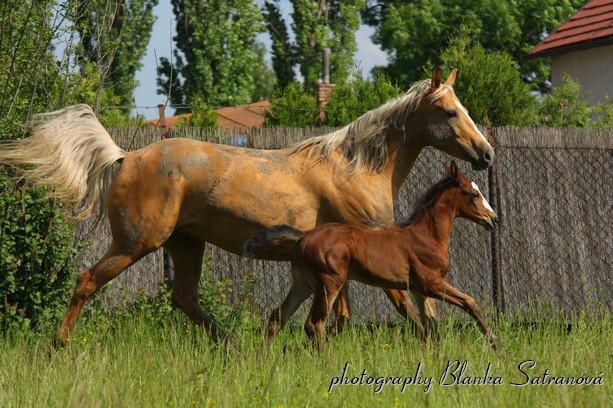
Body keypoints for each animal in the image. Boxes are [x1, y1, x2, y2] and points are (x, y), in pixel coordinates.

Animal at [243, 163, 498, 350]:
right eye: (474, 194)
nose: (493, 219)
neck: (427, 235)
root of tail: (304, 236)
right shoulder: (431, 283)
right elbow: (469, 302)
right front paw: (494, 341)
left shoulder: (418, 289)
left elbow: (429, 324)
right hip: (329, 283)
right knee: (314, 324)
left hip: (303, 283)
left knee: (278, 316)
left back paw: (263, 358)